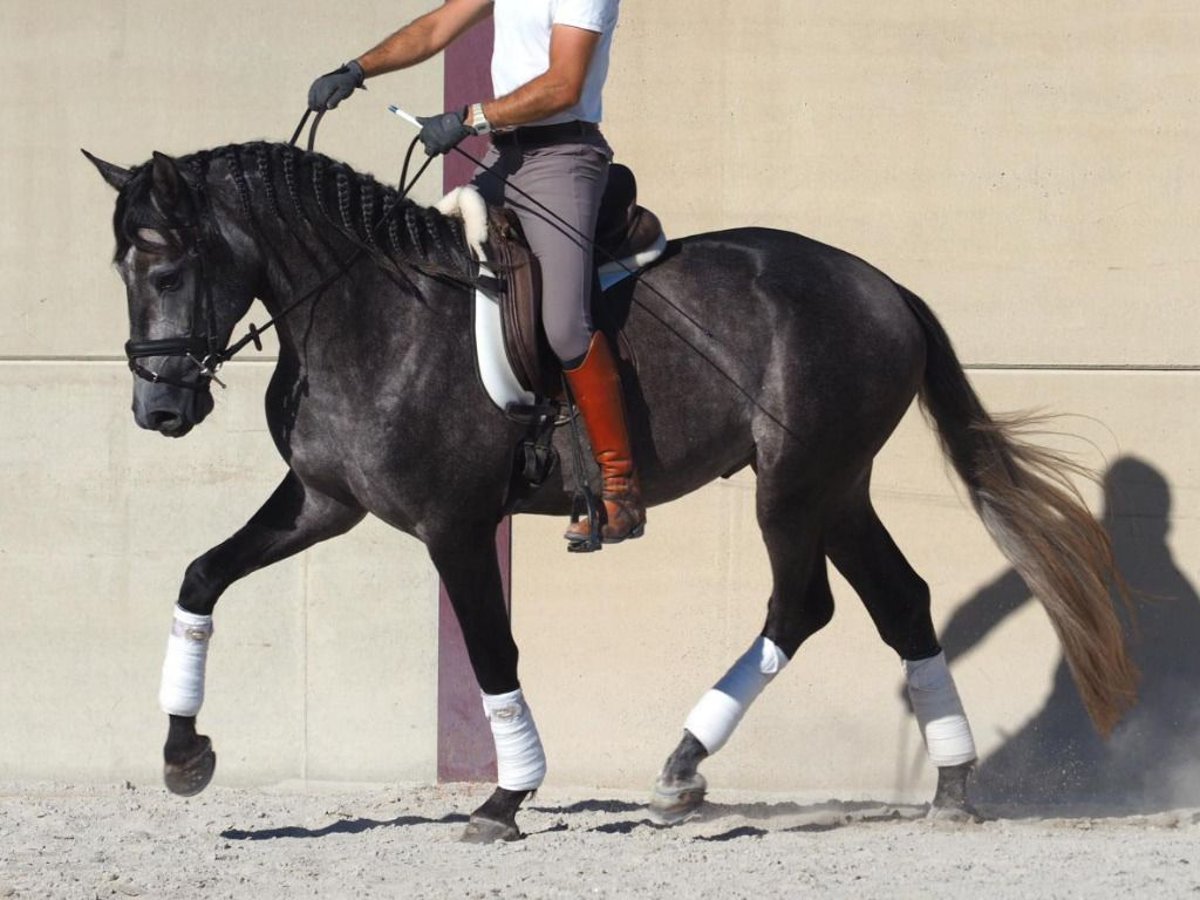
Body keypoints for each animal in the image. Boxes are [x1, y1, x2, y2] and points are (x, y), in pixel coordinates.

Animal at [82, 142, 1132, 844]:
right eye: (123, 268)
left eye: (169, 266)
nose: (158, 407)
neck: (369, 310)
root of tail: (885, 288)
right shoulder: (320, 503)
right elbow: (201, 576)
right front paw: (183, 756)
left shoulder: (455, 525)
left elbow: (492, 650)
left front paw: (506, 798)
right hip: (838, 487)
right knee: (897, 602)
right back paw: (947, 787)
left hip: (795, 486)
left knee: (803, 604)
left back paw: (683, 768)